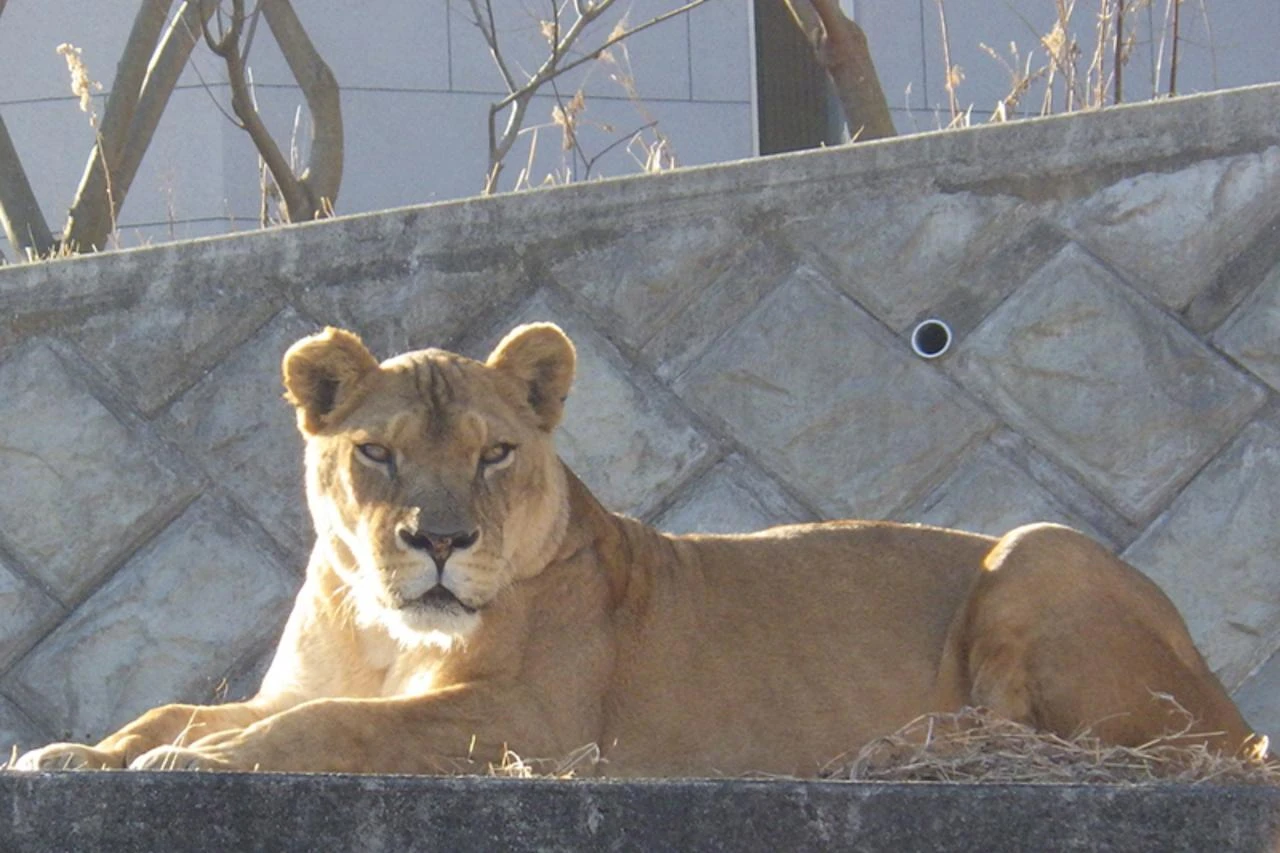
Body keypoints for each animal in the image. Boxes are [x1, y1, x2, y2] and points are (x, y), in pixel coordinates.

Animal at [14, 323, 1263, 776]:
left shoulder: (533, 723)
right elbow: (183, 706)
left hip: (1038, 549)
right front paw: (78, 752)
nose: (437, 541)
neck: (382, 627)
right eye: (374, 452)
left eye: (494, 453)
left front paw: (193, 764)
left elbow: (330, 727)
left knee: (1133, 748)